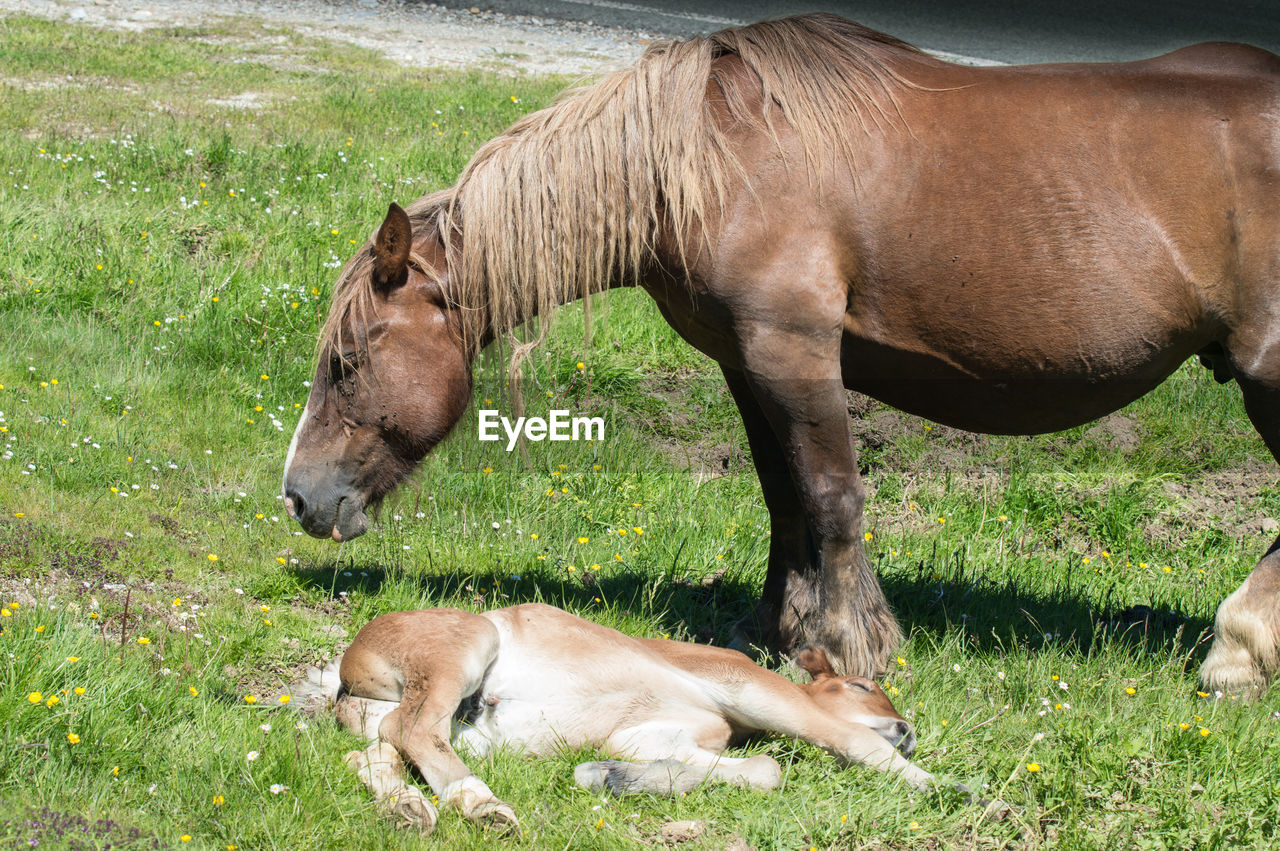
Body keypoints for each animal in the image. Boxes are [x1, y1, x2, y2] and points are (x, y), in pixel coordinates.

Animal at [285, 13, 1280, 696]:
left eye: (346, 361)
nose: (299, 496)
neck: (713, 158)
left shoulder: (795, 350)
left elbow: (833, 496)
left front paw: (849, 643)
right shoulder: (746, 361)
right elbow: (783, 497)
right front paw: (776, 625)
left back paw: (1236, 650)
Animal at [299, 601, 936, 834]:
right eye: (862, 685)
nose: (906, 730)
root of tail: (348, 668)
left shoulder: (648, 734)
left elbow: (763, 771)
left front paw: (609, 777)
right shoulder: (749, 684)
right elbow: (843, 737)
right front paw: (940, 786)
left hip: (415, 715)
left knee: (373, 748)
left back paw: (408, 809)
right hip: (463, 645)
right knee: (413, 729)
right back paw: (482, 806)